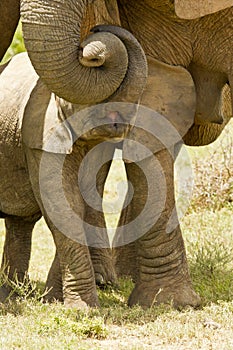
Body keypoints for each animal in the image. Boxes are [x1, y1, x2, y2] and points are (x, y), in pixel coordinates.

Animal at [0, 51, 146, 306]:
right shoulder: (39, 136)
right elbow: (63, 202)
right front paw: (80, 307)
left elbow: (81, 201)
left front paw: (55, 301)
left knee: (19, 222)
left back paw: (11, 295)